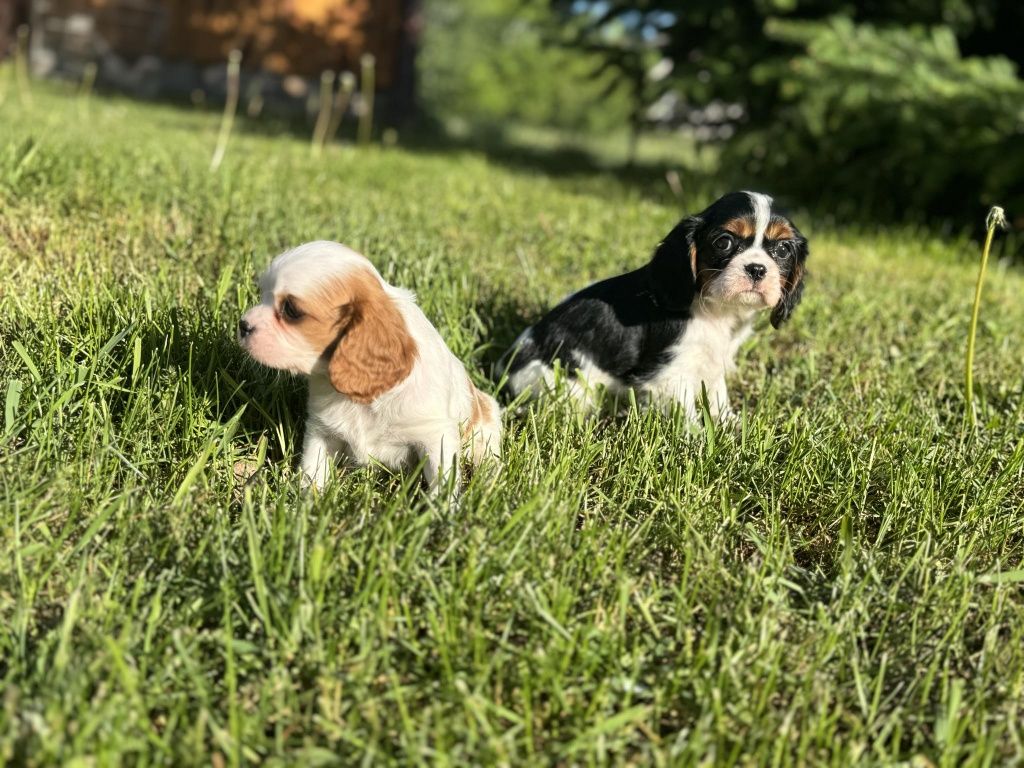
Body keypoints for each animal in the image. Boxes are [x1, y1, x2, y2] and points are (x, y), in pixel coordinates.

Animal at [236, 240, 499, 493]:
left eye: (291, 310)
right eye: (262, 294)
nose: (242, 325)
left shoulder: (436, 436)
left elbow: (442, 482)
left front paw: (441, 508)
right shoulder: (321, 430)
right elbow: (313, 469)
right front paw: (306, 501)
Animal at [497, 192, 806, 421]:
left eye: (782, 250)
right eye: (724, 242)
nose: (757, 268)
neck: (717, 311)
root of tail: (505, 364)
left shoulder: (712, 363)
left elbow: (718, 397)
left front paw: (730, 426)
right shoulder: (669, 374)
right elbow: (688, 416)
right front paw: (700, 443)